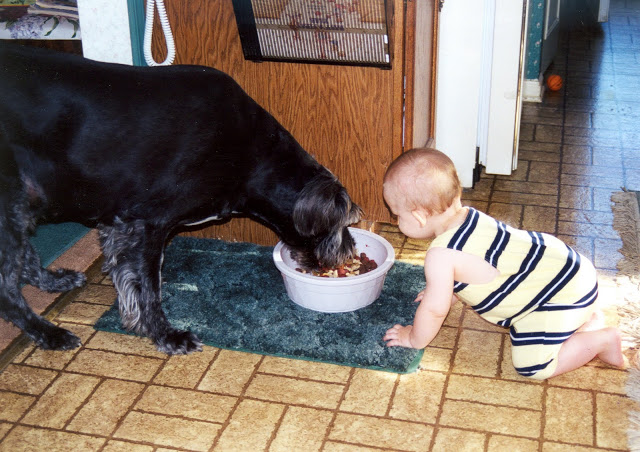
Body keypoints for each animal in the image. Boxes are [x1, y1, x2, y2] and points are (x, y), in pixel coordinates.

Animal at [0, 43, 360, 354]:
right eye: (344, 223)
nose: (349, 251)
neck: (254, 156)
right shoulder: (147, 224)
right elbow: (149, 287)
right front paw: (166, 335)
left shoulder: (118, 226)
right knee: (7, 289)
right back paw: (50, 333)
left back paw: (53, 281)